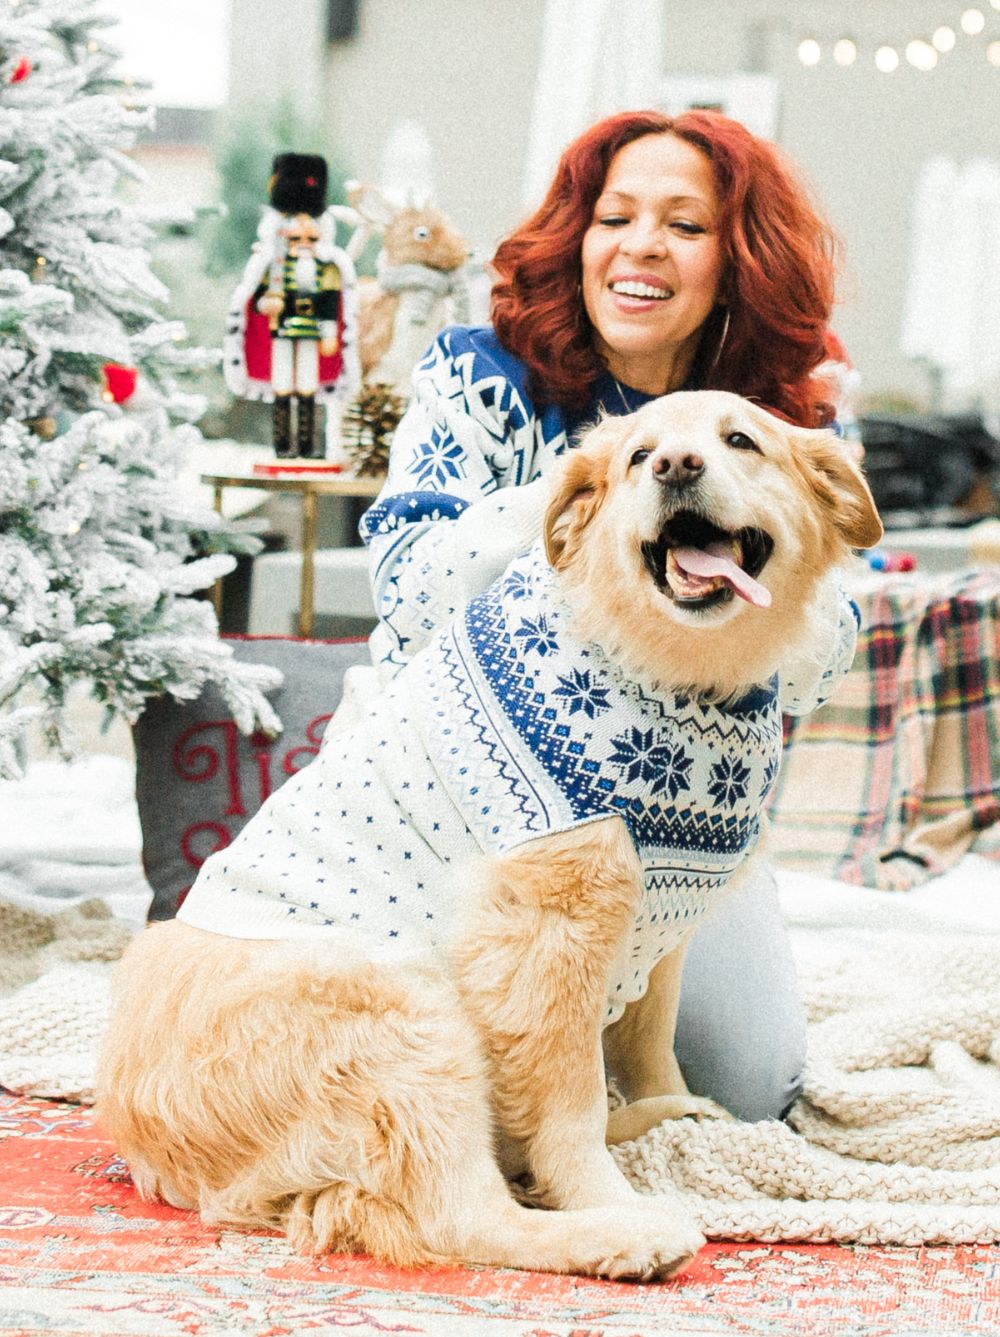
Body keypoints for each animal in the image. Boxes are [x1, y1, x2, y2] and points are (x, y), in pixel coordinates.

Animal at [97, 390, 877, 1283]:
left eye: (741, 440)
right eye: (637, 457)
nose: (677, 466)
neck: (670, 674)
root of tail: (148, 1145)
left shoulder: (660, 936)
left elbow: (651, 1057)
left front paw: (671, 1118)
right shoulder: (549, 937)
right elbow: (571, 1107)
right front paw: (605, 1192)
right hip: (401, 1009)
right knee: (462, 1217)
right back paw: (622, 1233)